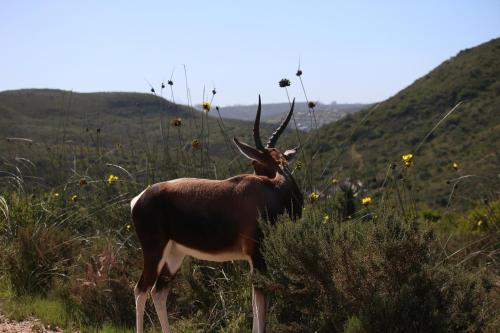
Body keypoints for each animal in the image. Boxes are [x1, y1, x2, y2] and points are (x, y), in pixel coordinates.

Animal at [131, 95, 302, 330]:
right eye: (256, 163)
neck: (273, 188)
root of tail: (139, 198)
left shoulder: (254, 260)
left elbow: (255, 302)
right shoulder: (257, 256)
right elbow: (261, 303)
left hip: (175, 254)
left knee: (159, 291)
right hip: (154, 252)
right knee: (141, 290)